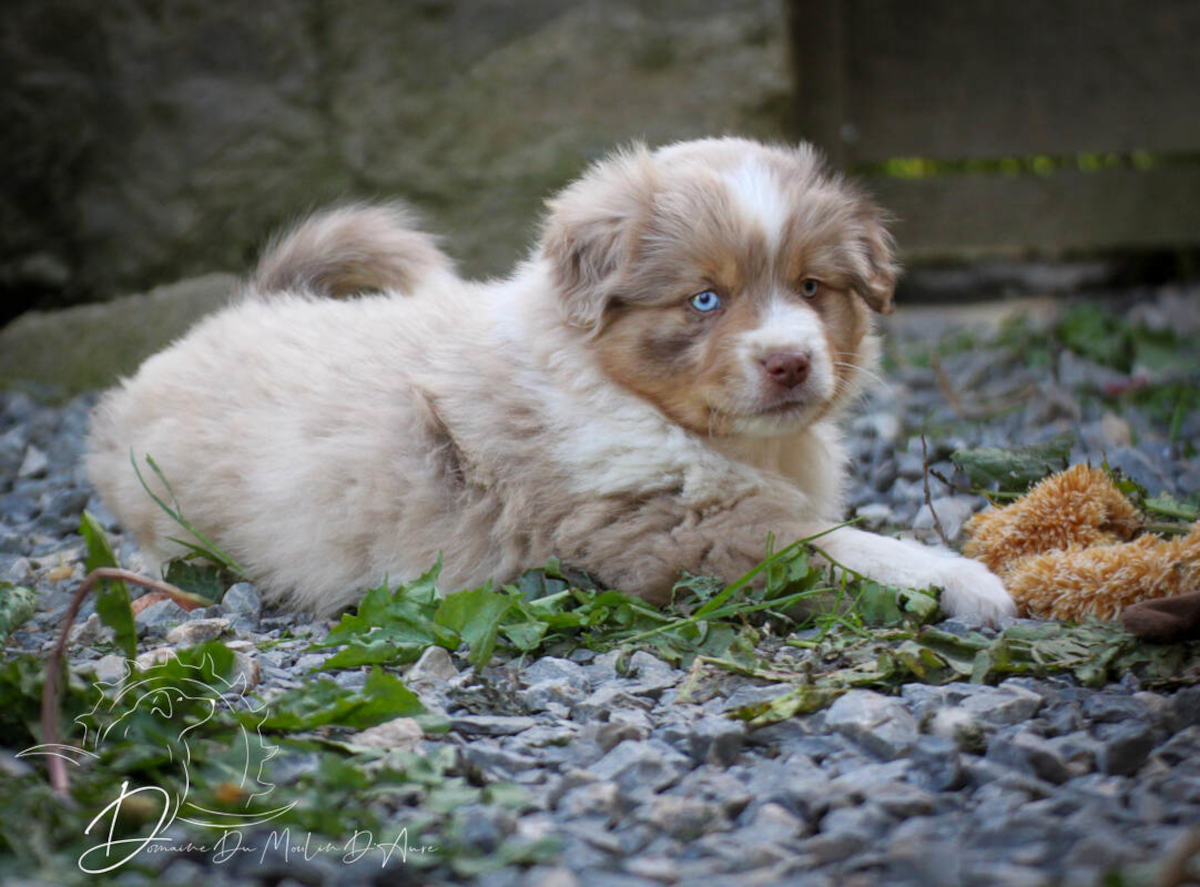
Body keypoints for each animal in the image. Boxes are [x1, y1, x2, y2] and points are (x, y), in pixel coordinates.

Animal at [88, 136, 1017, 624]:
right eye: (705, 299)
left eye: (814, 286)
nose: (790, 361)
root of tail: (244, 308)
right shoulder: (676, 528)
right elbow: (839, 547)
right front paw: (969, 580)